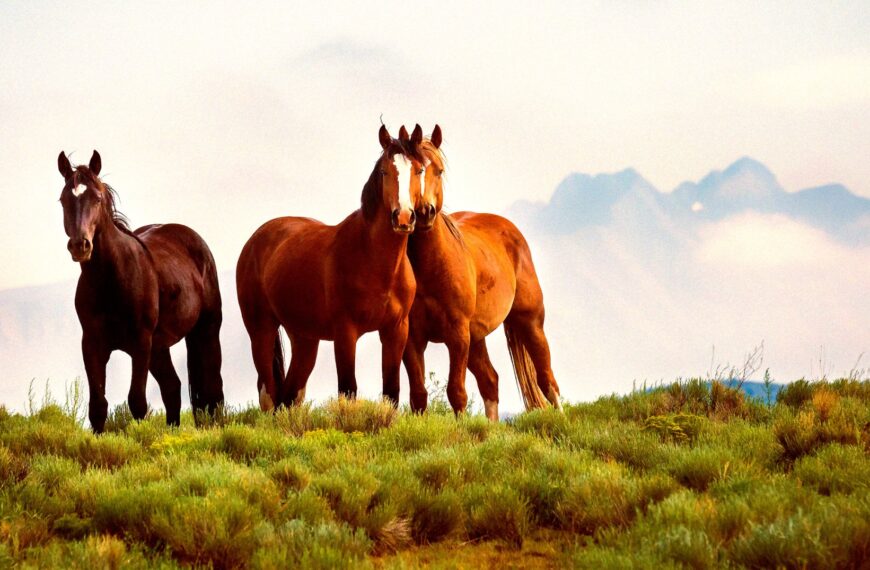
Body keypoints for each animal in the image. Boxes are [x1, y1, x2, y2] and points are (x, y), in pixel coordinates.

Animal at [57, 150, 225, 433]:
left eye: (97, 198)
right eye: (63, 199)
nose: (80, 245)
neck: (112, 280)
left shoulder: (140, 343)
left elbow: (137, 402)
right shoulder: (92, 344)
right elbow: (98, 407)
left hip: (206, 332)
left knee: (213, 391)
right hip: (159, 348)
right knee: (172, 388)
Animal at [236, 125, 419, 409]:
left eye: (419, 170)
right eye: (384, 171)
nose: (403, 217)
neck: (376, 262)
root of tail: (255, 240)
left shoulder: (396, 330)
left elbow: (391, 392)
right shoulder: (345, 333)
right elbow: (348, 389)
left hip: (304, 338)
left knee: (289, 396)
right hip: (261, 330)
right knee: (269, 393)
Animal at [400, 125, 562, 420]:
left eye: (438, 170)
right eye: (411, 171)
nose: (426, 212)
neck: (432, 269)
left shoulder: (457, 335)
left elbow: (456, 392)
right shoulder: (414, 338)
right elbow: (418, 395)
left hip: (530, 322)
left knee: (547, 379)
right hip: (477, 338)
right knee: (490, 380)